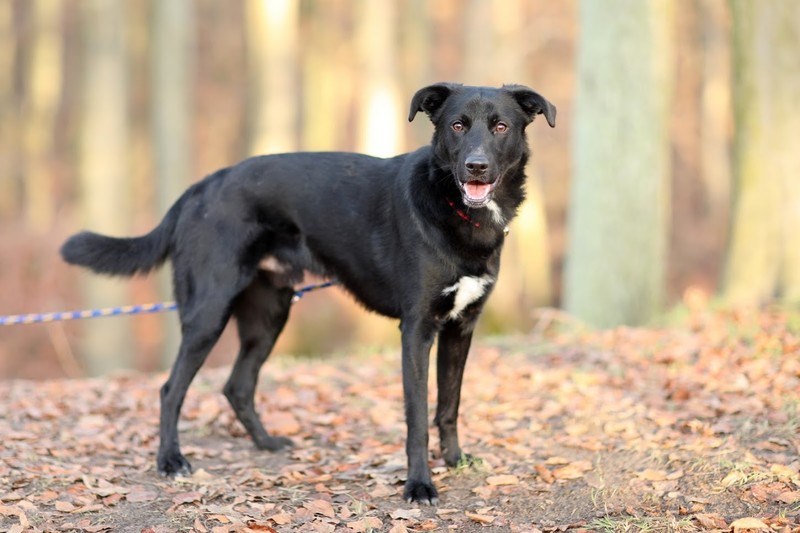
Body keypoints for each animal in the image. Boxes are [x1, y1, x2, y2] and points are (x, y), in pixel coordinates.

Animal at [61, 83, 556, 502]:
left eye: (500, 127)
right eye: (457, 125)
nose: (476, 166)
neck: (457, 210)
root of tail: (202, 186)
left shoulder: (461, 327)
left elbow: (449, 406)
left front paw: (455, 462)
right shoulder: (416, 330)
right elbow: (417, 415)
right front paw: (419, 485)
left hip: (269, 314)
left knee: (237, 385)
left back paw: (265, 443)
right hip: (208, 311)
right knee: (171, 389)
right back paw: (170, 461)